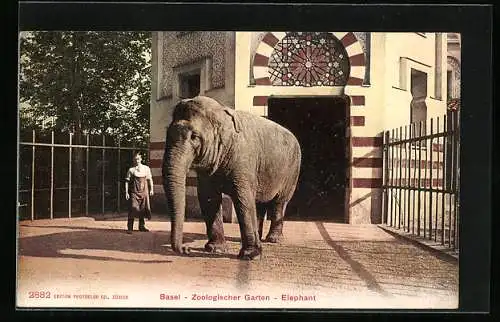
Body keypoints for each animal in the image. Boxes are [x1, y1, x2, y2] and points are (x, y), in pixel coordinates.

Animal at [162, 95, 300, 260]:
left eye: (194, 136)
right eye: (167, 135)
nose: (186, 249)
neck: (221, 112)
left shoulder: (243, 161)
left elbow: (243, 198)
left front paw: (250, 255)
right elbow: (208, 198)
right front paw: (216, 249)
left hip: (292, 172)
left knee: (279, 202)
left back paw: (274, 240)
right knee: (259, 203)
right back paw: (260, 238)